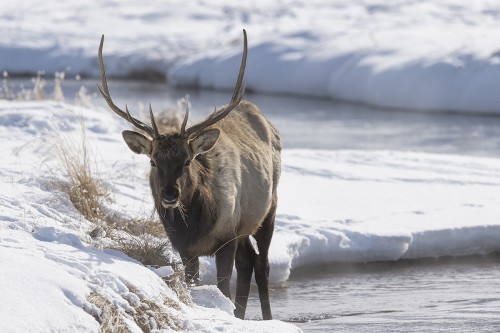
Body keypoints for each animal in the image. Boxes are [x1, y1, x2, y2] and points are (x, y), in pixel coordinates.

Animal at [97, 31, 282, 320]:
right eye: (153, 161)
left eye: (186, 161)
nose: (170, 194)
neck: (197, 225)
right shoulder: (184, 248)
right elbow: (194, 285)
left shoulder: (226, 237)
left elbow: (223, 290)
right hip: (243, 228)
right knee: (248, 261)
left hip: (268, 208)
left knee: (262, 264)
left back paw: (268, 318)